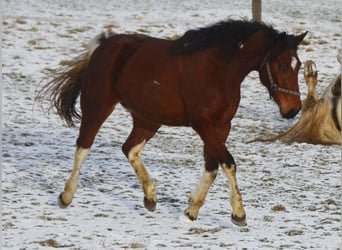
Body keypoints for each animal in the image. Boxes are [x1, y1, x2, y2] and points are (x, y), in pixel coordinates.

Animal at [38, 20, 308, 226]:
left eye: (299, 66)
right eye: (281, 65)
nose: (292, 109)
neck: (218, 71)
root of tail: (104, 45)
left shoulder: (221, 127)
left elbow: (212, 166)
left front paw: (191, 211)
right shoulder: (203, 125)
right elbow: (228, 163)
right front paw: (238, 214)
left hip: (148, 119)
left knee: (130, 148)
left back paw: (150, 197)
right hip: (97, 106)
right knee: (83, 146)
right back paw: (66, 196)